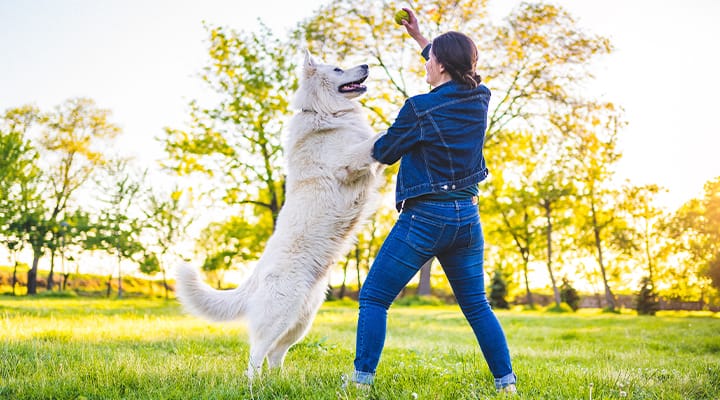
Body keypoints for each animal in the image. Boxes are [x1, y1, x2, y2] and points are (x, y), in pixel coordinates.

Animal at [175, 50, 382, 378]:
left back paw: (279, 382)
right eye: (338, 69)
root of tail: (255, 276)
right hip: (279, 316)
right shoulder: (348, 161)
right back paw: (253, 385)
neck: (324, 111)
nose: (366, 65)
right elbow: (373, 141)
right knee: (255, 356)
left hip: (300, 321)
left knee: (275, 354)